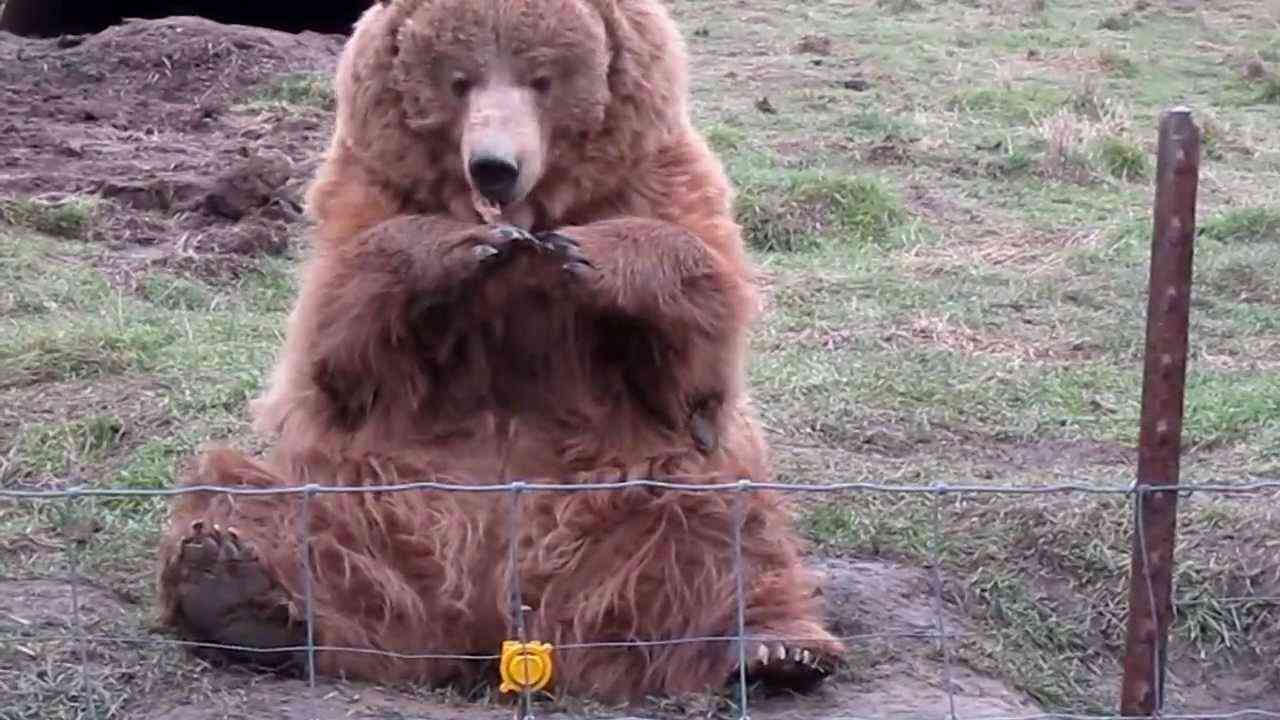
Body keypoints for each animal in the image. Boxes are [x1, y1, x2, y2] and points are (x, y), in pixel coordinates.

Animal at [153, 0, 846, 705]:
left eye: (542, 78)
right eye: (459, 79)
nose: (493, 166)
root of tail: (490, 622)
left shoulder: (658, 182)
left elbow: (696, 345)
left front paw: (591, 252)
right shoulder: (365, 190)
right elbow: (339, 338)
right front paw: (460, 246)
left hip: (614, 496)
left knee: (715, 525)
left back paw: (773, 646)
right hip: (381, 489)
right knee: (277, 507)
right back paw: (234, 587)